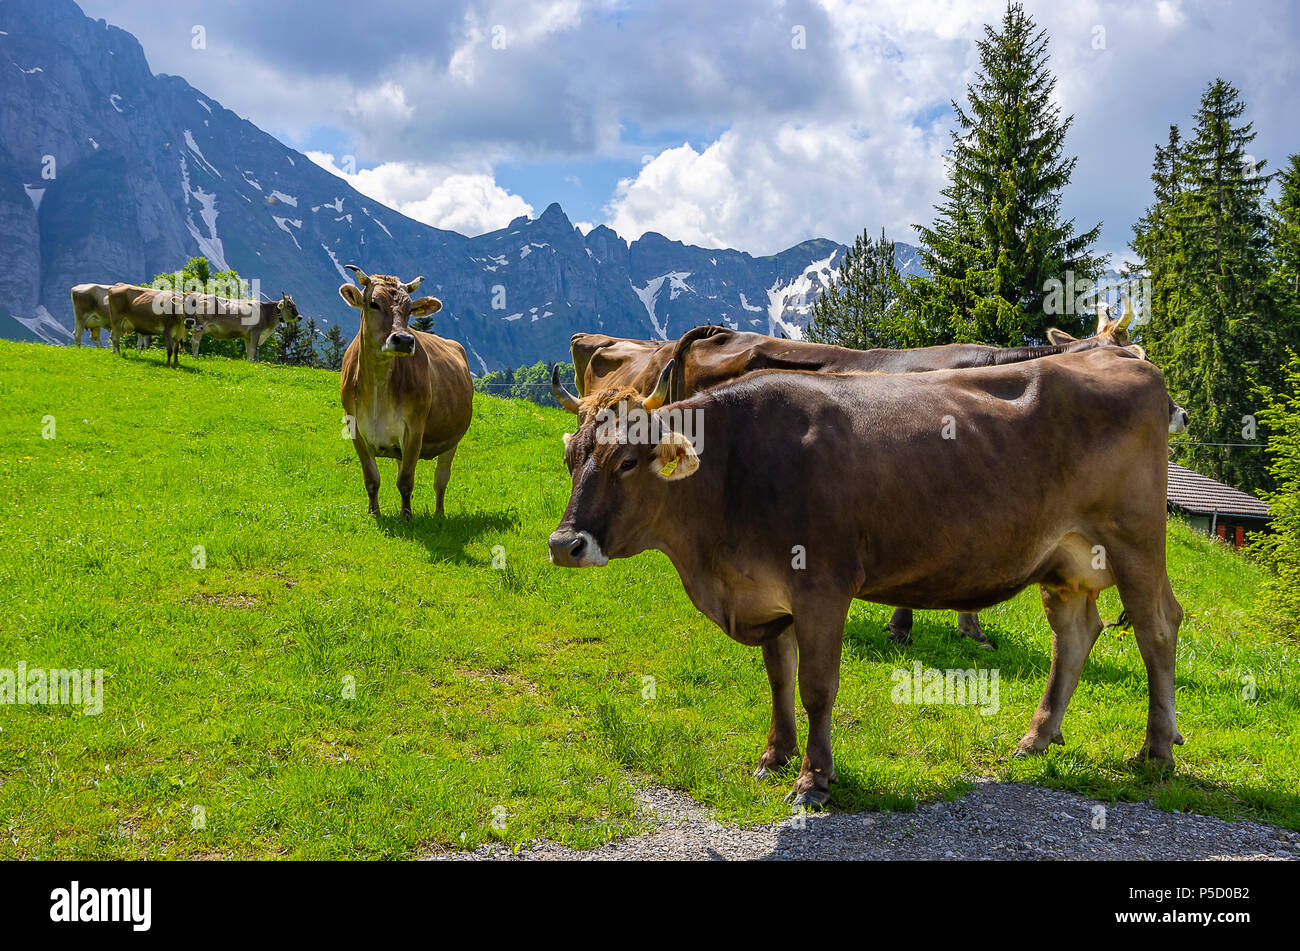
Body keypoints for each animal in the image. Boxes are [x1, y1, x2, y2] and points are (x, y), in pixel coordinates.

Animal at [340, 265, 473, 519]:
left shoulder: (414, 430)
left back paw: (439, 514)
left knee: (441, 480)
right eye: (373, 303)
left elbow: (406, 481)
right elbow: (372, 479)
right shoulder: (356, 429)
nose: (403, 339)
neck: (377, 386)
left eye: (410, 308)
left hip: (452, 440)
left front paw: (407, 517)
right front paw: (374, 513)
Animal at [548, 350, 1180, 810]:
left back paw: (1157, 751)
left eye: (628, 461)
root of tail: (1122, 357)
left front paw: (814, 779)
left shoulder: (823, 586)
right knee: (1074, 635)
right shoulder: (768, 594)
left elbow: (816, 687)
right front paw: (775, 756)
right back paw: (1038, 738)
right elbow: (778, 678)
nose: (564, 545)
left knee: (1158, 630)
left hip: (1136, 540)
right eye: (573, 456)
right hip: (1065, 560)